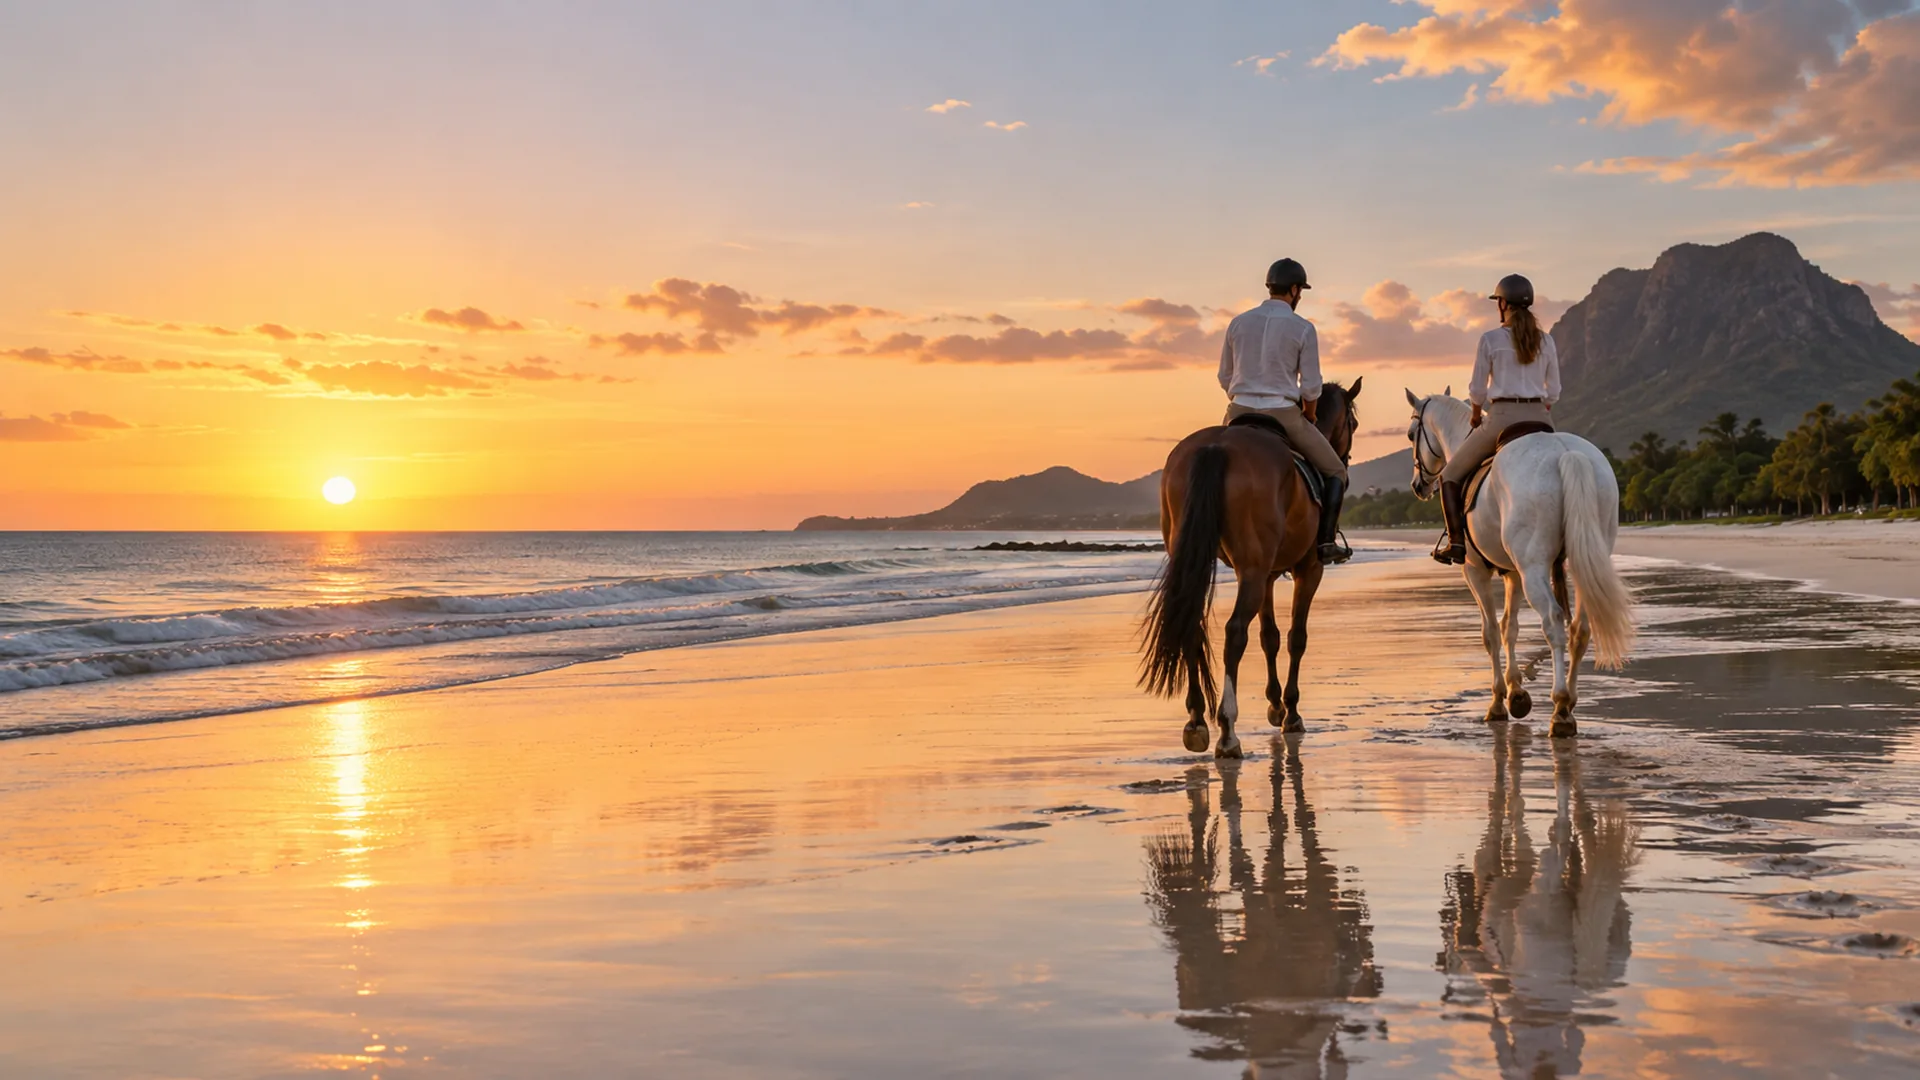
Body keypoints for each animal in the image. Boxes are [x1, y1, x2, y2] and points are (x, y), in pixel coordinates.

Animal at [1139, 379, 1361, 757]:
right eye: (1353, 424)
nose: (1346, 463)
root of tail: (1216, 446)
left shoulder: (1268, 575)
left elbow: (1269, 637)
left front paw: (1275, 705)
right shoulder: (1307, 570)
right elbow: (1295, 637)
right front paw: (1291, 712)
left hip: (1206, 560)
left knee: (1192, 625)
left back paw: (1197, 721)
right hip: (1254, 571)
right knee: (1234, 632)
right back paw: (1228, 729)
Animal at [1405, 390, 1635, 737]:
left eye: (1411, 435)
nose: (1418, 485)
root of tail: (1565, 453)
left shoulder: (1475, 571)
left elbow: (1490, 632)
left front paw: (1499, 701)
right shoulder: (1512, 574)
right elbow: (1509, 628)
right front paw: (1517, 694)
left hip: (1532, 569)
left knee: (1553, 621)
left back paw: (1560, 708)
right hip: (1585, 559)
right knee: (1580, 628)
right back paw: (1570, 702)